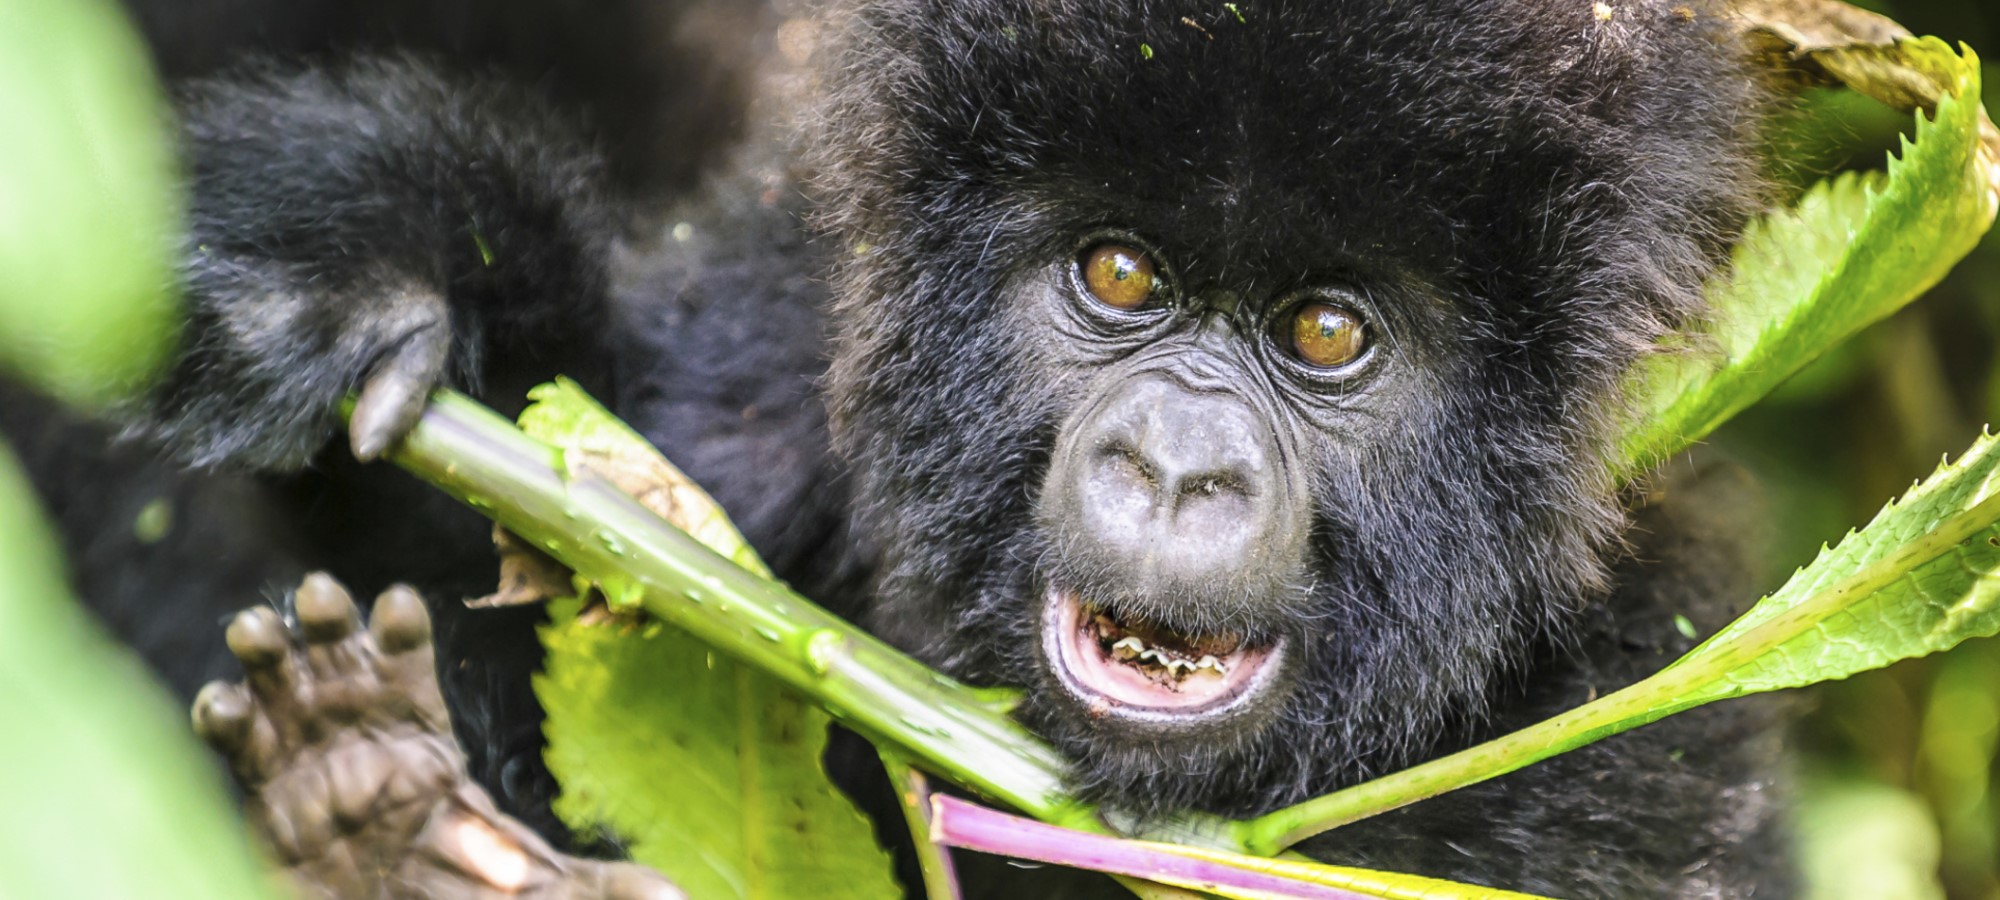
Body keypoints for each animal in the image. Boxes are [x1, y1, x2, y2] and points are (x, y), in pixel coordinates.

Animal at [3, 0, 1800, 896]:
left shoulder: (1636, 745)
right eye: (1119, 277)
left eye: (1327, 336)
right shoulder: (781, 341)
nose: (1177, 470)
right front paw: (374, 257)